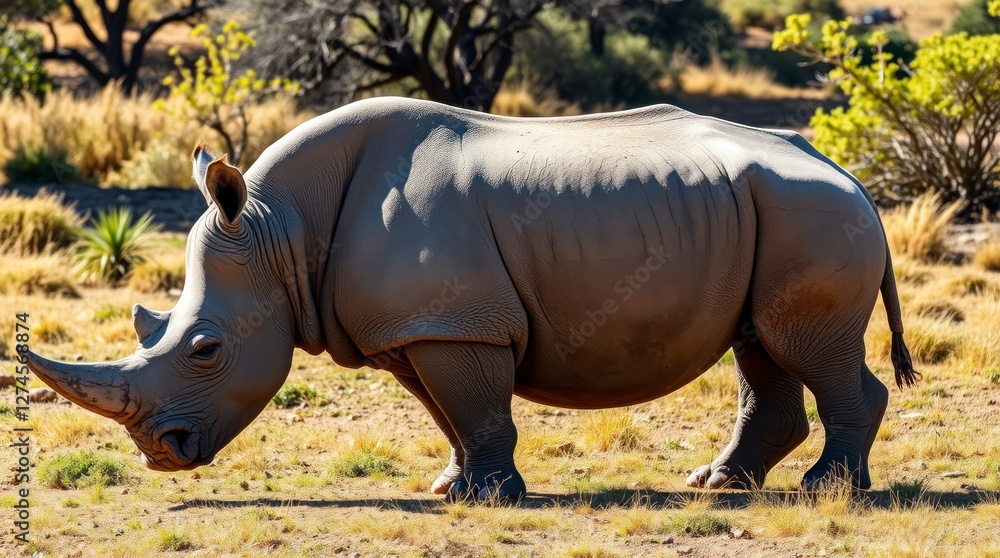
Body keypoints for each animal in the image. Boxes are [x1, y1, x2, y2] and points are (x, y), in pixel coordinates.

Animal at [28, 97, 918, 501]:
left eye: (207, 349)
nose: (161, 453)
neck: (280, 231)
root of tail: (851, 175)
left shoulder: (457, 325)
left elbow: (477, 405)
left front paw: (486, 496)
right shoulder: (419, 328)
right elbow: (449, 412)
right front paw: (452, 488)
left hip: (813, 215)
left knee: (802, 347)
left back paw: (830, 491)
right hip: (767, 216)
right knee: (760, 344)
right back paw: (718, 485)